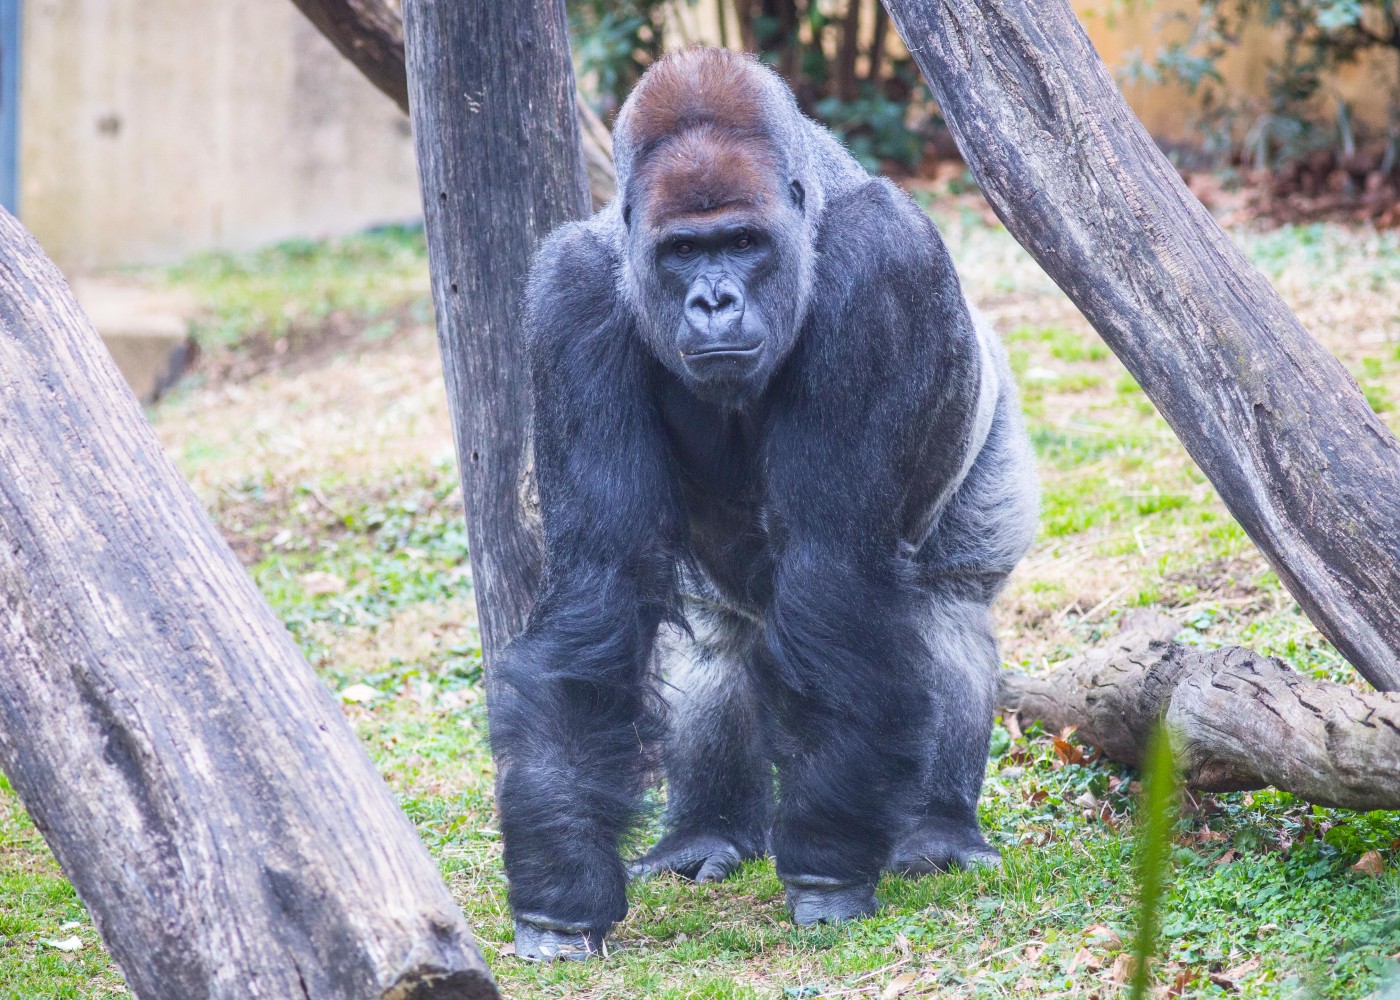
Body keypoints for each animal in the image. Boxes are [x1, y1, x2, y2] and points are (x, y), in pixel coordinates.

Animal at [492, 48, 1041, 957]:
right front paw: (559, 888)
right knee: (715, 638)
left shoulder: (880, 267)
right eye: (683, 251)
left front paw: (824, 867)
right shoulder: (570, 297)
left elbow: (832, 570)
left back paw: (937, 827)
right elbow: (601, 585)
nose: (714, 301)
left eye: (742, 243)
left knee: (945, 607)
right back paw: (705, 830)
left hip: (991, 427)